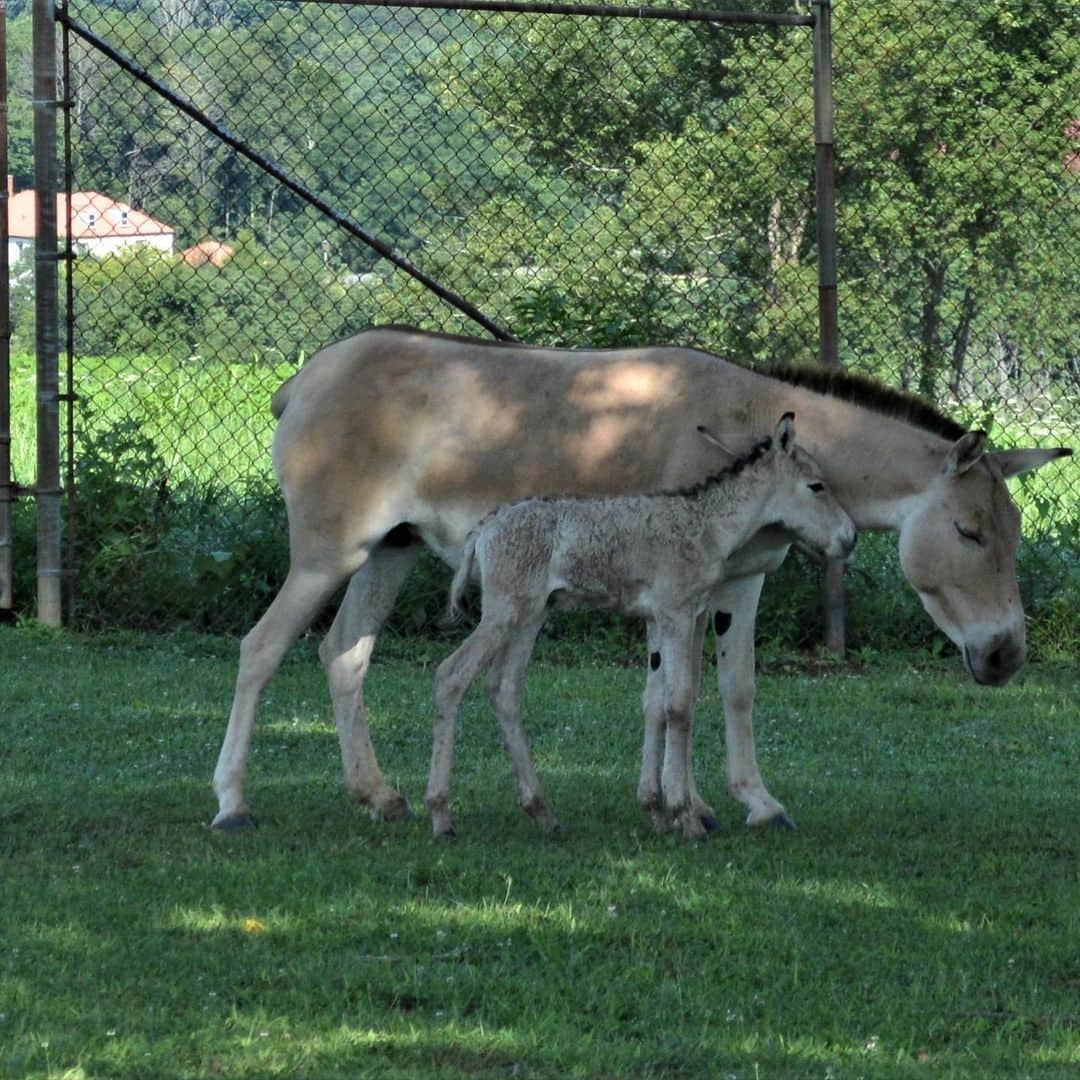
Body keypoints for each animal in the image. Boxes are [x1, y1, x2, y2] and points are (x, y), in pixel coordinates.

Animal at [425, 414, 855, 842]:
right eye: (816, 486)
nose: (850, 538)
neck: (708, 525)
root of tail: (483, 528)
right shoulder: (677, 614)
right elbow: (678, 704)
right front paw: (686, 816)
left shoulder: (663, 619)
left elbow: (657, 703)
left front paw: (659, 810)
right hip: (504, 612)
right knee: (452, 674)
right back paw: (440, 813)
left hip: (530, 615)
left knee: (504, 689)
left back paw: (541, 811)